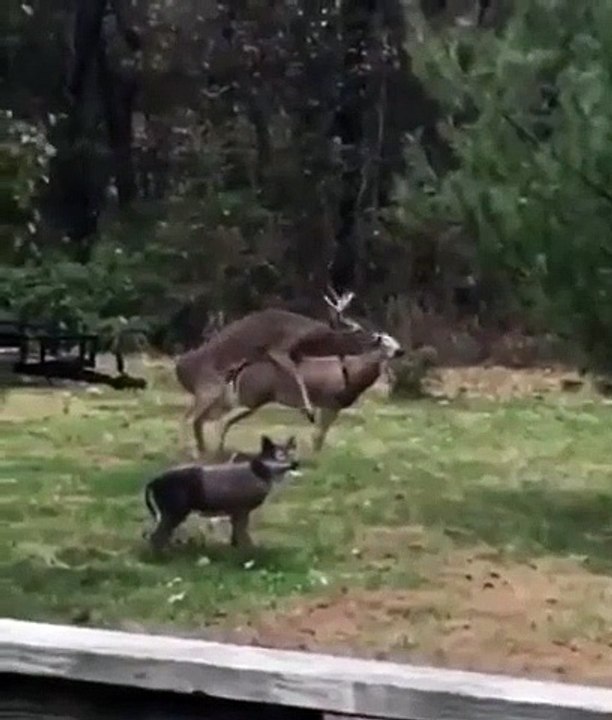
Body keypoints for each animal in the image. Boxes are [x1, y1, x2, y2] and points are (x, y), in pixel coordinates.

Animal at [175, 288, 376, 457]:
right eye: (362, 335)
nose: (378, 338)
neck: (313, 338)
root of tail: (180, 367)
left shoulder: (296, 356)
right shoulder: (280, 349)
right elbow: (296, 375)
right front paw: (309, 411)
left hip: (216, 393)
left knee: (197, 418)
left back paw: (202, 450)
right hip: (210, 387)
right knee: (191, 418)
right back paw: (192, 451)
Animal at [204, 328, 404, 455]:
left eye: (394, 339)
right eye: (384, 342)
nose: (401, 350)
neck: (352, 374)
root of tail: (240, 369)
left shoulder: (334, 406)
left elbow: (320, 435)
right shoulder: (328, 402)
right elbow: (318, 435)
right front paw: (317, 460)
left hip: (251, 400)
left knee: (224, 419)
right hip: (251, 397)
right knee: (221, 420)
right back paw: (216, 452)